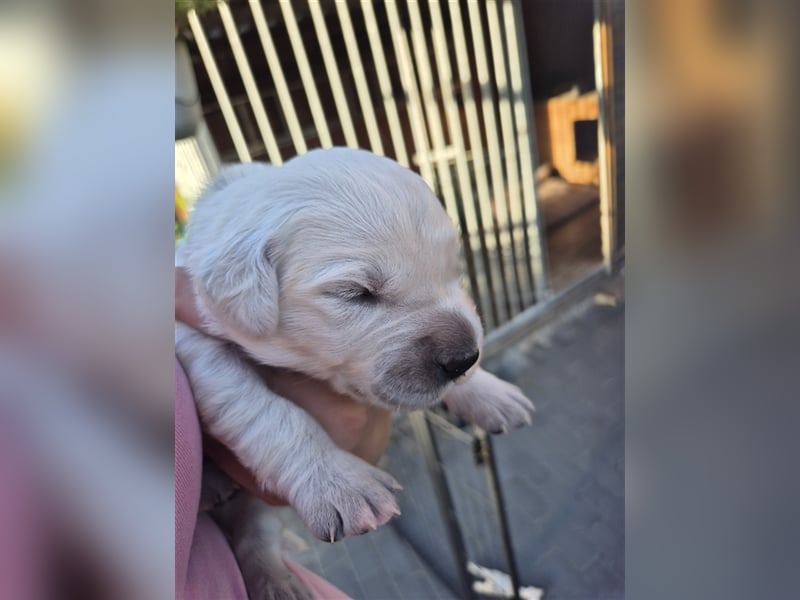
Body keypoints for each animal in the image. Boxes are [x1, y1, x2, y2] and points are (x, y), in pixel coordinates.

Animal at [178, 148, 536, 596]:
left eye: (452, 271)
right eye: (356, 293)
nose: (463, 359)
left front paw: (490, 392)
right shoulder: (196, 344)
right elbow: (268, 411)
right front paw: (338, 483)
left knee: (253, 535)